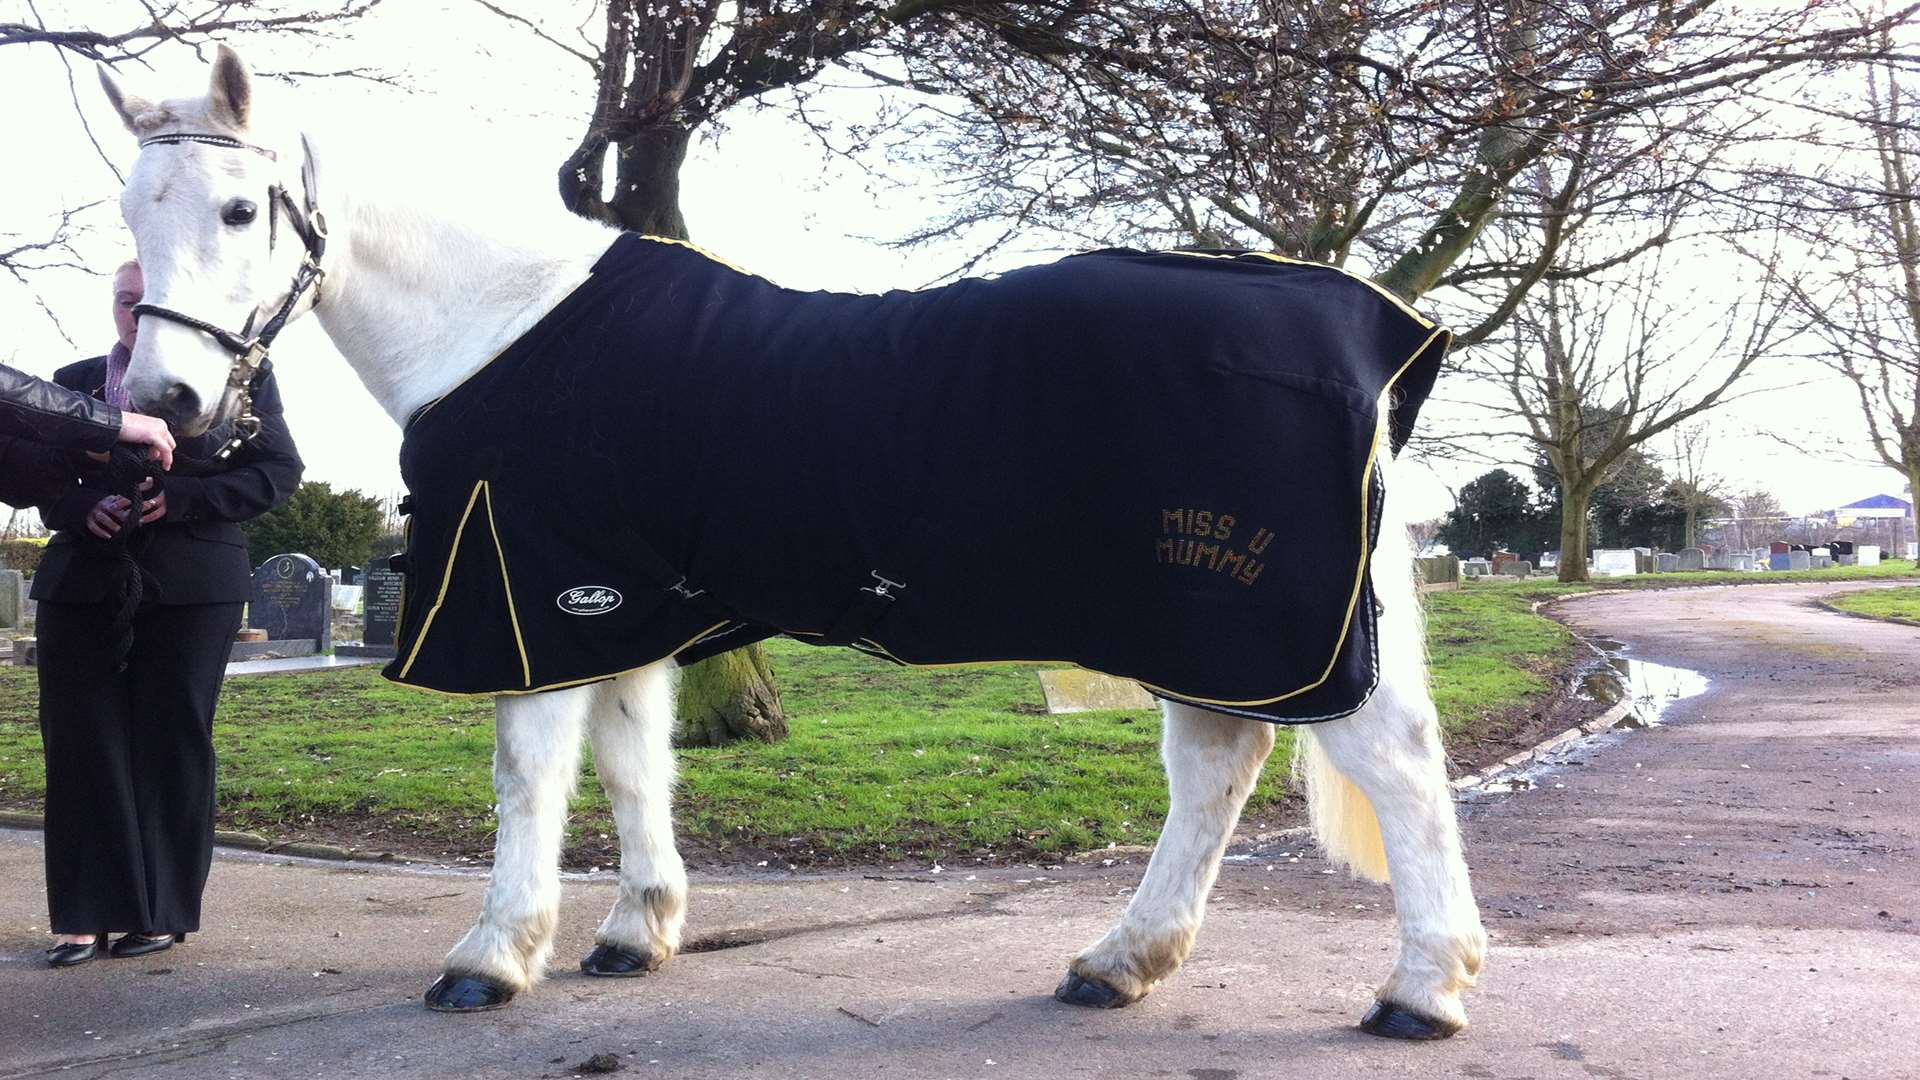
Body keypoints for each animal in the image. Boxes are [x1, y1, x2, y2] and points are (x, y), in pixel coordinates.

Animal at [97, 48, 1489, 1037]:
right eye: (131, 207)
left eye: (240, 209)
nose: (163, 402)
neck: (501, 320)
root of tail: (1373, 336)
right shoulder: (621, 603)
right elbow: (633, 767)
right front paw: (634, 933)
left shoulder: (530, 596)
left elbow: (530, 778)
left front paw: (491, 958)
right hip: (1200, 627)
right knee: (1218, 764)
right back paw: (1119, 963)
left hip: (1251, 619)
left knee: (1390, 766)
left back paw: (1421, 992)